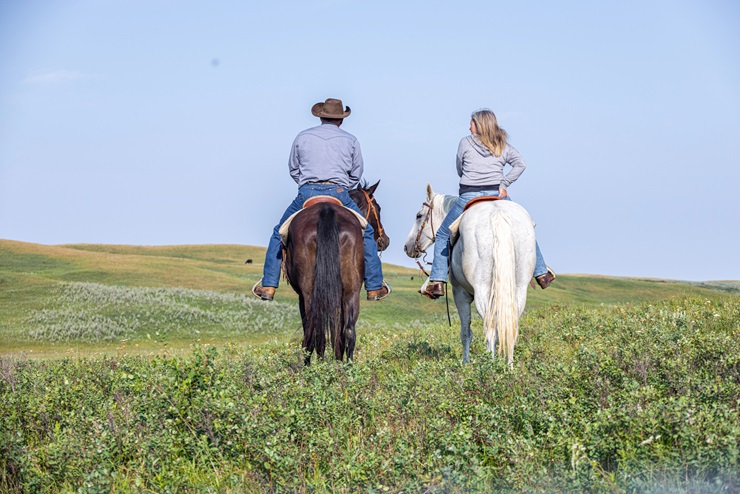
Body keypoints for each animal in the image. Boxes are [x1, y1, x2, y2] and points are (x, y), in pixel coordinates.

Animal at [404, 183, 536, 364]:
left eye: (419, 215)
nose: (408, 247)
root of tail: (497, 214)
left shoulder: (461, 293)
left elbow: (466, 332)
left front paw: (465, 364)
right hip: (519, 289)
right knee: (510, 327)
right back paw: (508, 366)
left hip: (482, 290)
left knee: (490, 329)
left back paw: (490, 366)